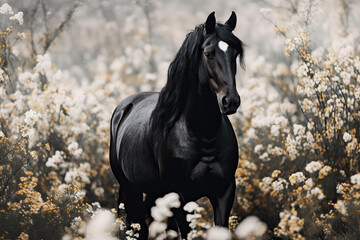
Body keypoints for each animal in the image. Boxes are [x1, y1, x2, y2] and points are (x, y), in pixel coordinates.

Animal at [109, 11, 245, 240]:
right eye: (208, 53)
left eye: (234, 53)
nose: (230, 101)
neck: (202, 134)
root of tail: (124, 107)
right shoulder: (180, 196)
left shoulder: (224, 192)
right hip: (130, 190)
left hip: (155, 194)